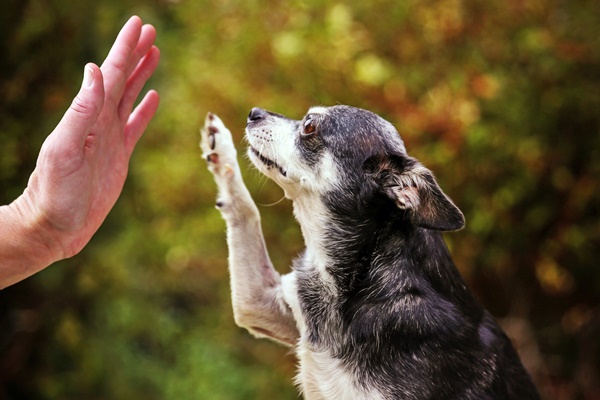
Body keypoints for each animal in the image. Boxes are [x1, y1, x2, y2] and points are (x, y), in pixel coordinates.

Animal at [199, 106, 540, 400]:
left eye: (309, 126)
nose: (254, 113)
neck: (360, 277)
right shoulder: (259, 305)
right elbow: (246, 212)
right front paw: (220, 149)